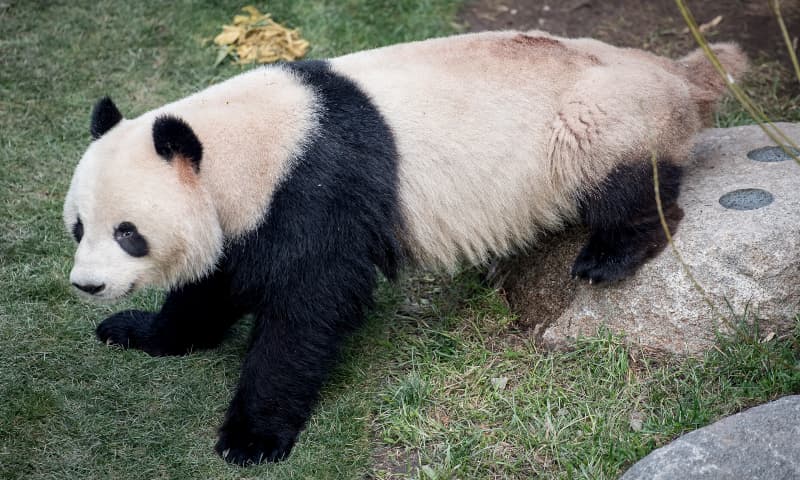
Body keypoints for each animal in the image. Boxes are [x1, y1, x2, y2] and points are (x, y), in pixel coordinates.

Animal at [63, 30, 747, 465]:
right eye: (78, 226)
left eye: (128, 233)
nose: (87, 285)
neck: (250, 141)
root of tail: (677, 74)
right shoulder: (252, 212)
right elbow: (214, 284)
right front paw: (139, 331)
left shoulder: (316, 188)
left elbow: (308, 307)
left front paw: (251, 437)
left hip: (601, 118)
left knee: (625, 179)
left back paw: (611, 255)